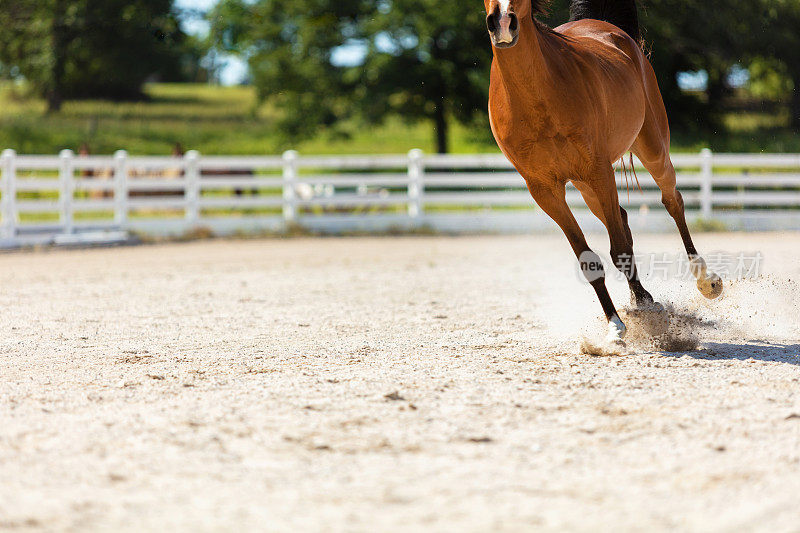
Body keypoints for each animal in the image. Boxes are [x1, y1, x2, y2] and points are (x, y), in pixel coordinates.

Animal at [484, 0, 720, 344]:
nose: (502, 23)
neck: (537, 95)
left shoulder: (599, 170)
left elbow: (618, 247)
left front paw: (623, 319)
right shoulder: (544, 190)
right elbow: (589, 258)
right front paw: (615, 324)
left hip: (651, 150)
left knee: (672, 201)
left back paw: (705, 280)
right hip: (586, 188)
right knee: (622, 219)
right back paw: (642, 300)